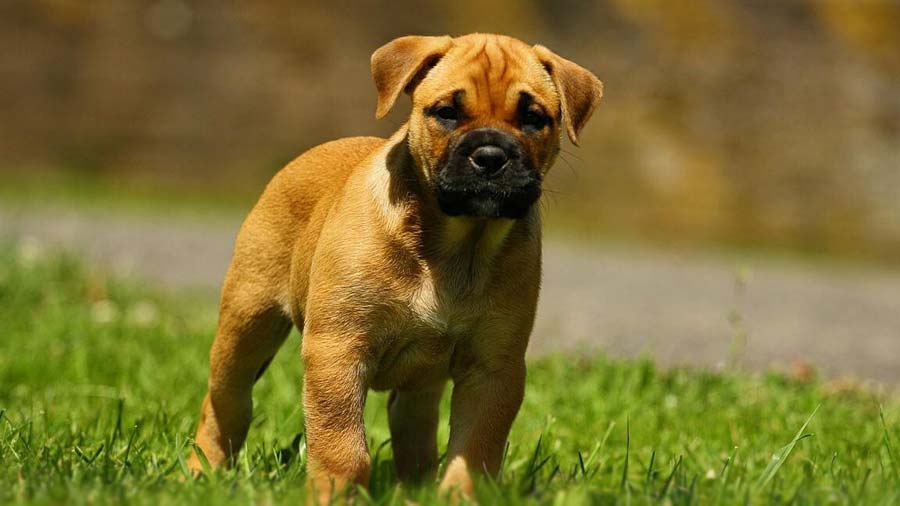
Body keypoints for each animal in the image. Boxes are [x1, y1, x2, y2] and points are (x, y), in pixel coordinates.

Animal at [186, 32, 600, 502]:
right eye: (447, 112)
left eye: (533, 119)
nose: (491, 155)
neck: (457, 241)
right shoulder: (337, 350)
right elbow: (342, 446)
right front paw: (334, 496)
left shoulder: (493, 369)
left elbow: (473, 451)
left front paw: (458, 496)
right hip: (247, 323)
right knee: (226, 402)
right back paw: (202, 471)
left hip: (421, 380)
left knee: (414, 424)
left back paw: (414, 490)